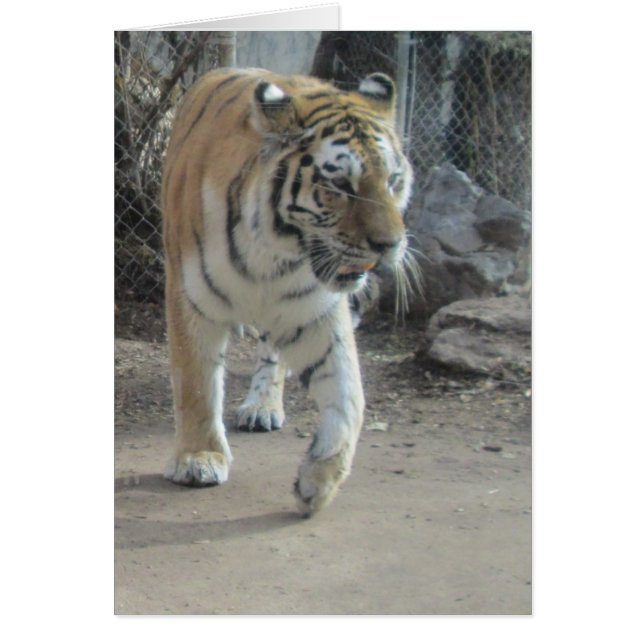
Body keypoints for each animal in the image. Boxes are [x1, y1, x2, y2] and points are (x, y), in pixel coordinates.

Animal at [161, 67, 415, 516]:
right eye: (340, 183)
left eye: (393, 180)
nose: (390, 245)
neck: (272, 253)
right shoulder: (190, 299)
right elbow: (196, 383)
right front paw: (199, 458)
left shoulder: (315, 309)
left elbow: (350, 396)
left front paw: (320, 480)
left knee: (272, 355)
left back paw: (262, 407)